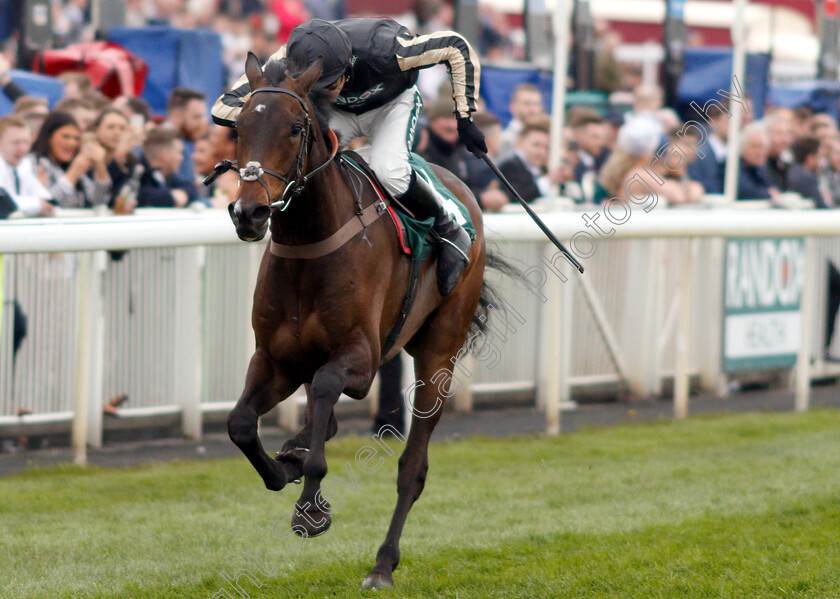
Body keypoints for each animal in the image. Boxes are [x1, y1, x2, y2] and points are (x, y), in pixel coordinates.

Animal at [225, 52, 498, 592]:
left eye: (294, 128)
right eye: (239, 128)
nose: (249, 213)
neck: (310, 244)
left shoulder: (363, 358)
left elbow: (329, 388)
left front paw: (310, 507)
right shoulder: (275, 358)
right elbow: (241, 423)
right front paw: (284, 468)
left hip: (439, 354)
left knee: (413, 467)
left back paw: (382, 565)